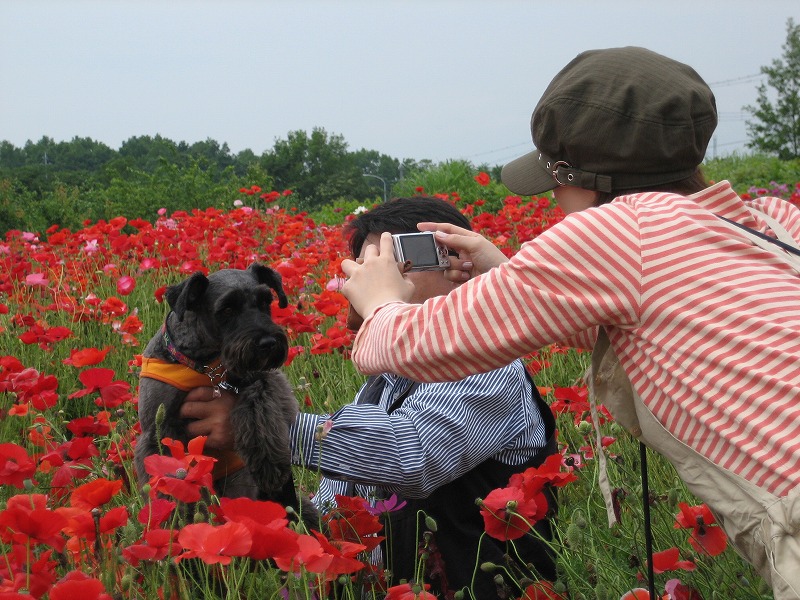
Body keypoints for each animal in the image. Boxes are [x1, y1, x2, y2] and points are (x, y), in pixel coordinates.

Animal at [133, 262, 310, 520]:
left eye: (265, 302)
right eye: (227, 309)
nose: (269, 343)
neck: (205, 364)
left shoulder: (267, 379)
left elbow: (261, 401)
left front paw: (269, 464)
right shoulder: (155, 431)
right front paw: (170, 519)